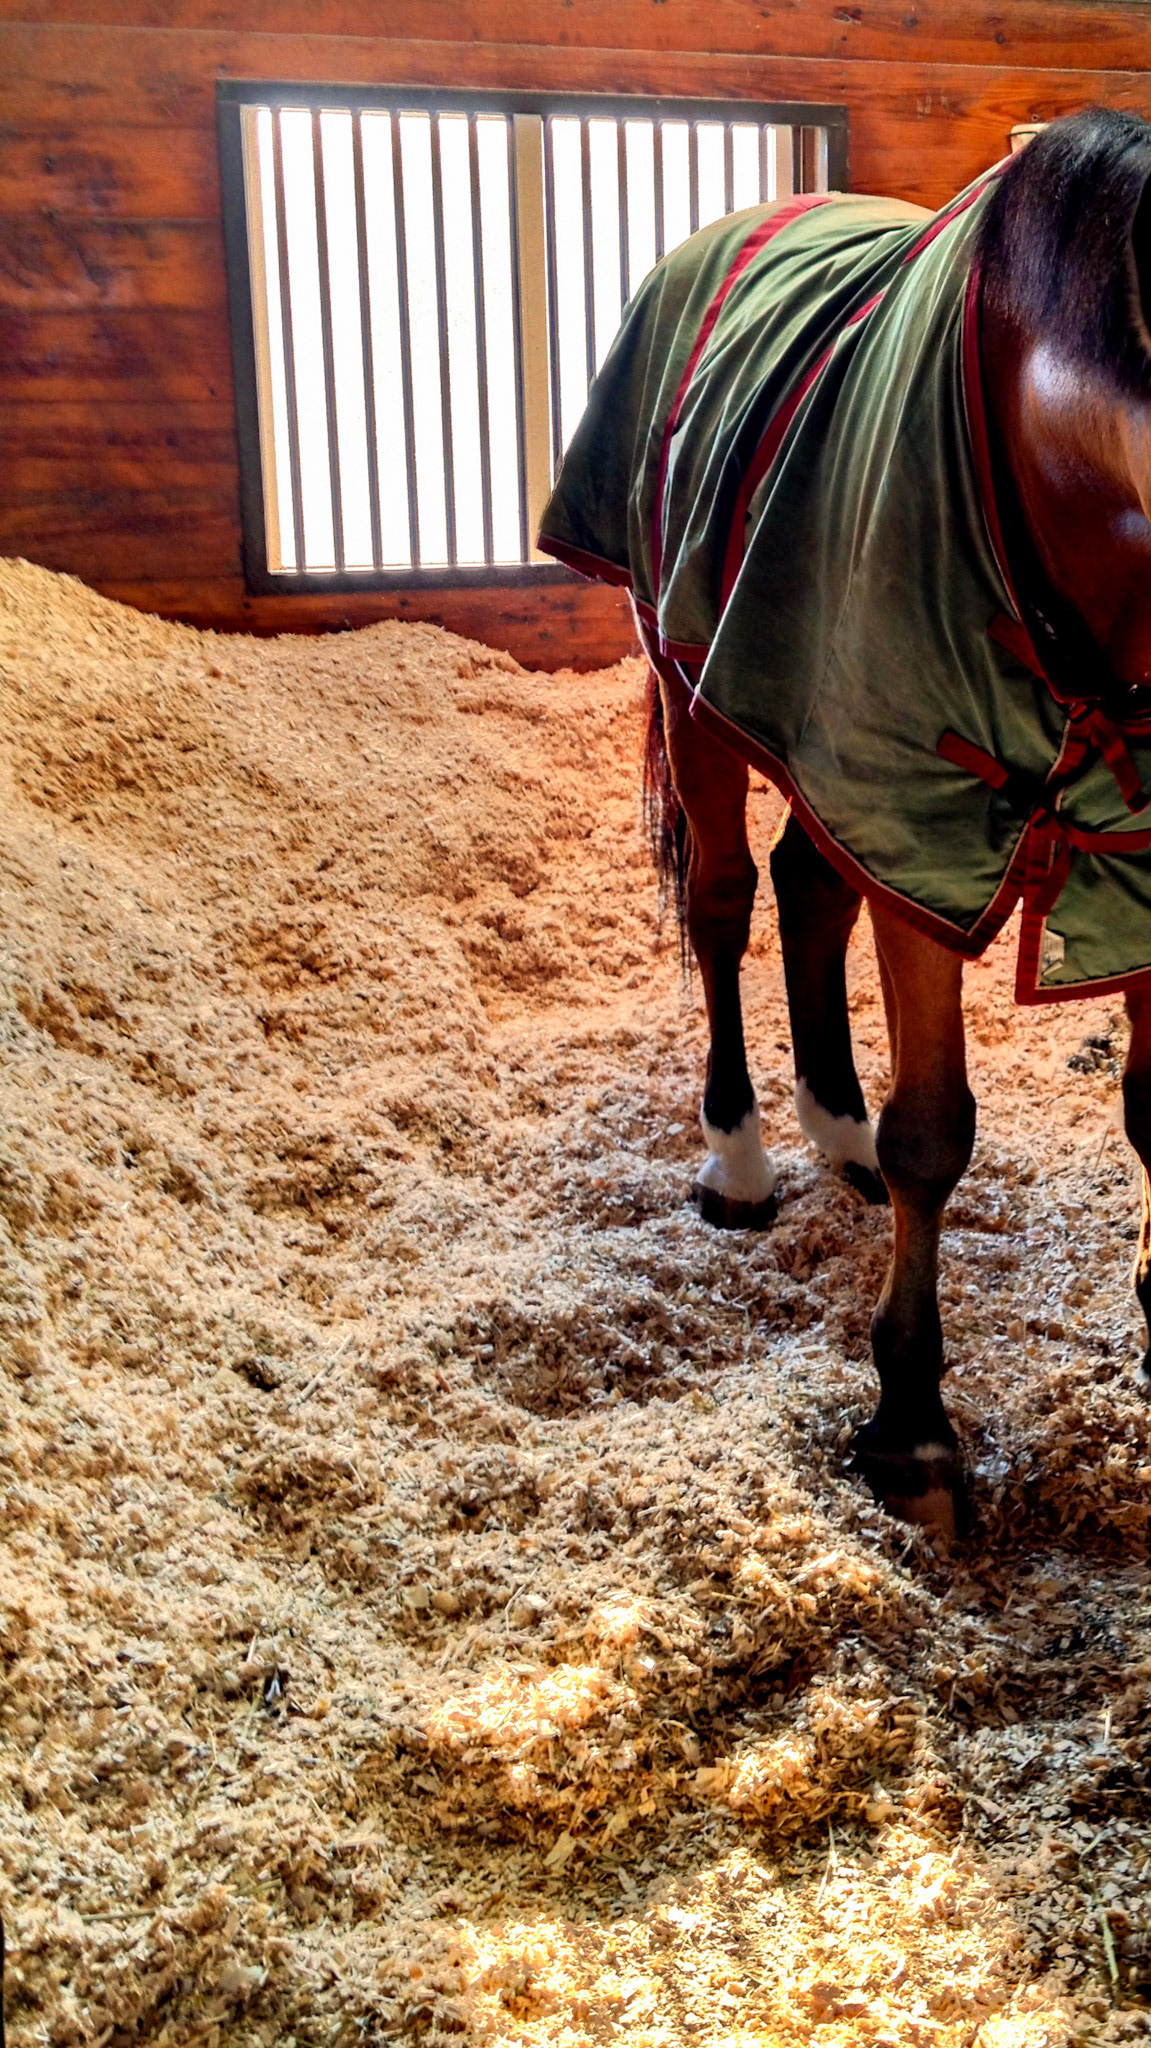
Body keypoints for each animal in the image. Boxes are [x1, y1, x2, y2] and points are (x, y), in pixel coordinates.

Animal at [539, 109, 1151, 1535]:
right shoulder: (918, 831)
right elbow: (936, 1136)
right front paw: (911, 1429)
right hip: (696, 686)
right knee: (723, 905)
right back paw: (742, 1159)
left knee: (804, 883)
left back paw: (835, 1124)